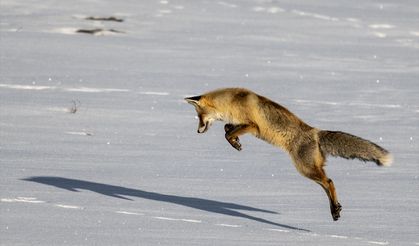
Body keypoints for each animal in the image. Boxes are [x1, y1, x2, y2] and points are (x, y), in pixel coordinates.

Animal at [186, 88, 394, 221]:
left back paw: (335, 209)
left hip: (305, 168)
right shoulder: (240, 124)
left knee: (329, 182)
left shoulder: (253, 126)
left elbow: (227, 133)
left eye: (199, 116)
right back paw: (335, 209)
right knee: (327, 183)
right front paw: (236, 141)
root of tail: (315, 132)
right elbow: (227, 129)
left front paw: (235, 142)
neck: (232, 101)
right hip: (310, 169)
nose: (197, 131)